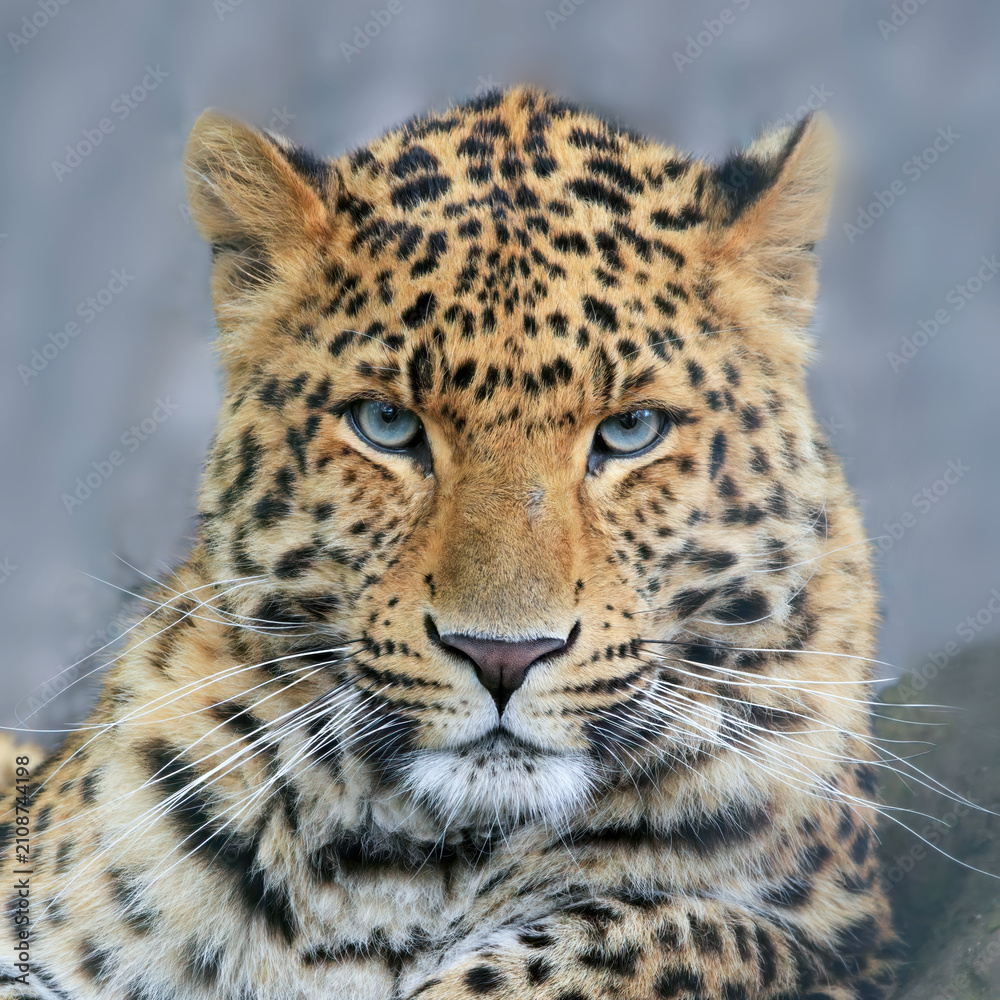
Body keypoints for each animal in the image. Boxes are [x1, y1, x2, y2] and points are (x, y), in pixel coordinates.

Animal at [0, 86, 898, 1000]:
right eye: (387, 424)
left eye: (631, 430)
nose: (502, 657)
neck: (418, 868)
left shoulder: (845, 943)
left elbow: (654, 936)